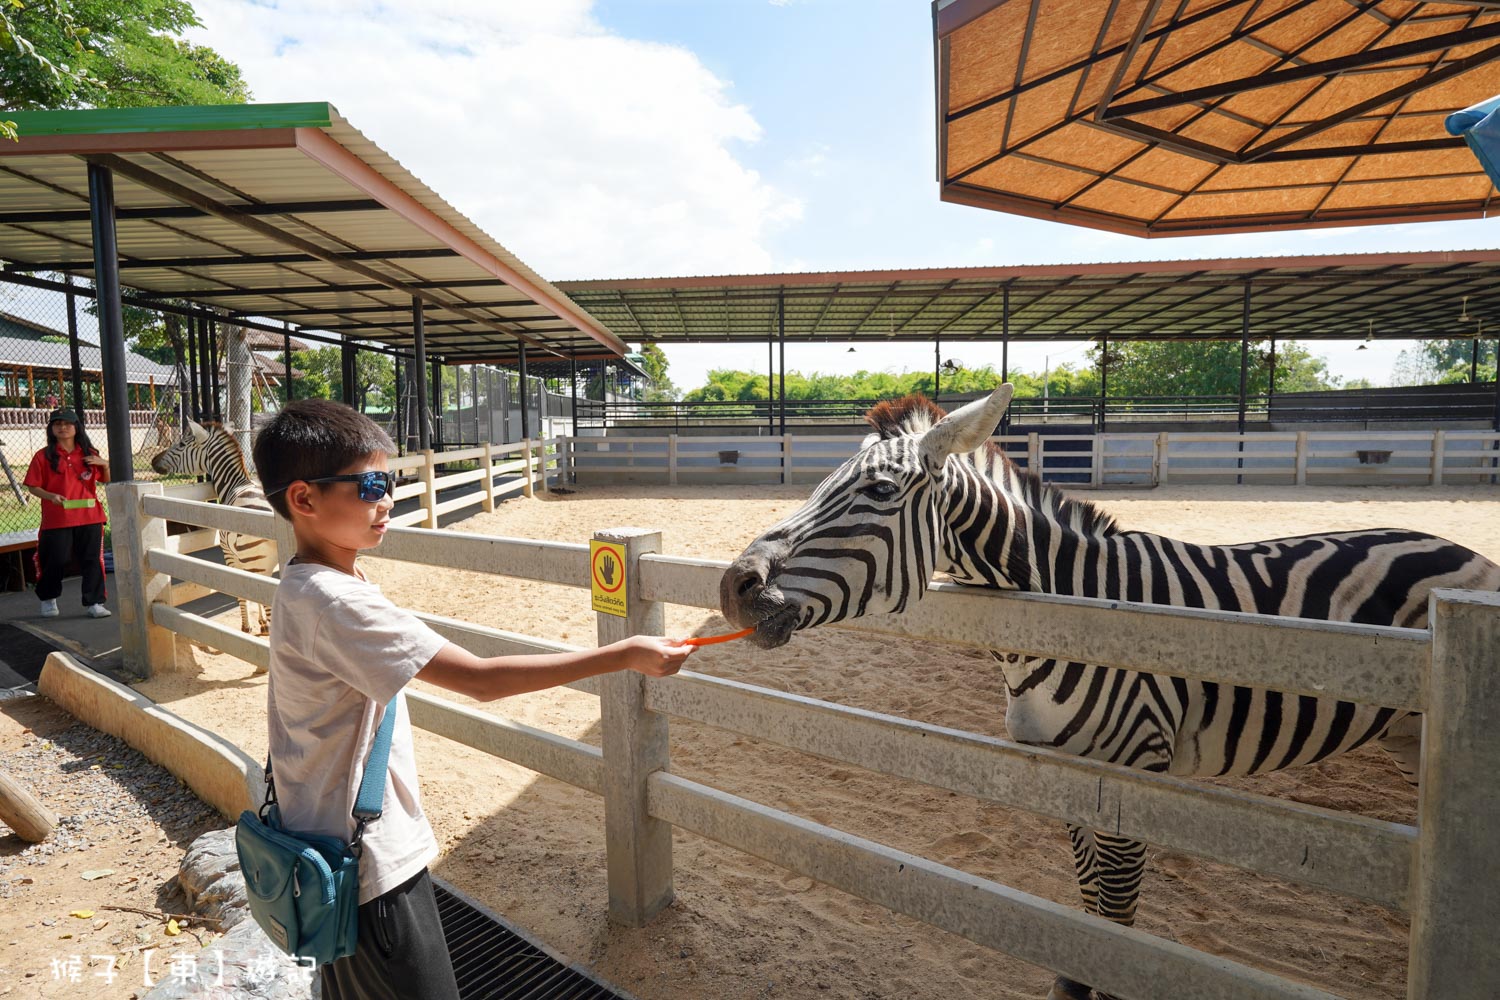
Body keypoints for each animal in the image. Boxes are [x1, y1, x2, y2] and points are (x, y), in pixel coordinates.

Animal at [152, 419, 282, 641]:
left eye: (181, 444)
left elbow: (242, 592)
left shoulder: (229, 553)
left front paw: (246, 627)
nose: (153, 461)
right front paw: (262, 623)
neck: (234, 484)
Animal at [717, 386, 1500, 1000]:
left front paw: (1108, 979)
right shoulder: (1066, 773)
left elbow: (1117, 911)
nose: (734, 587)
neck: (1068, 612)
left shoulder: (1130, 775)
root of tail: (1456, 549)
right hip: (1405, 735)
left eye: (879, 492)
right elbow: (1087, 894)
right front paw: (1075, 978)